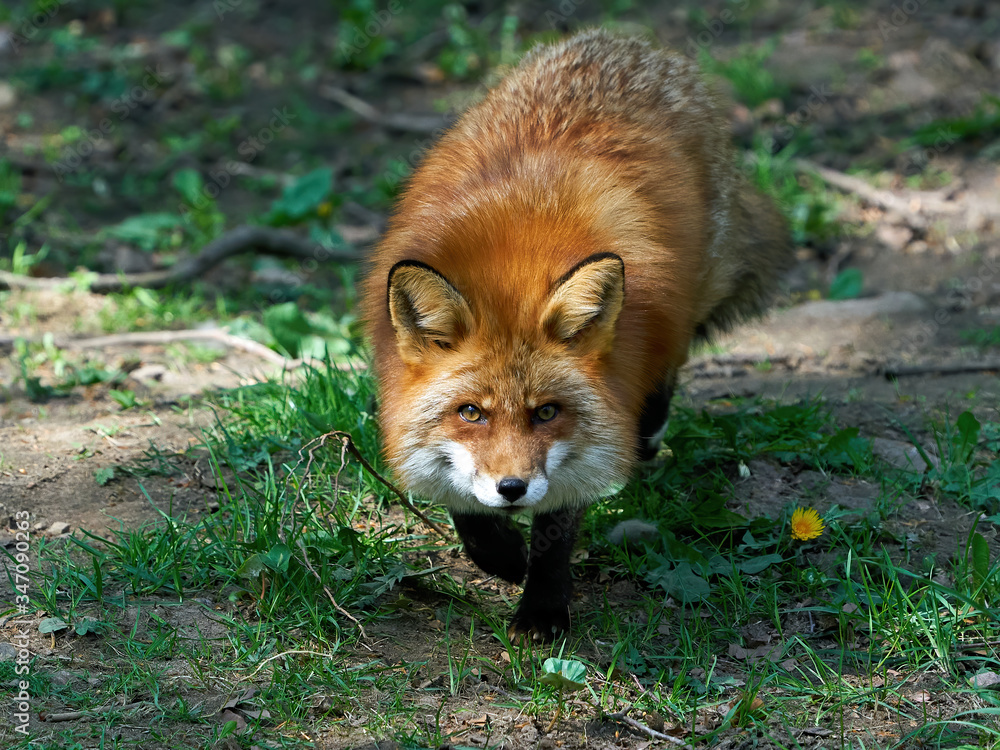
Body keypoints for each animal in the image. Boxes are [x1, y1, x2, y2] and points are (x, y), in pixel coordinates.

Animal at [362, 29, 793, 640]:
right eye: (471, 412)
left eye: (547, 412)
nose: (512, 489)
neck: (511, 261)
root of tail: (626, 43)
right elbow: (463, 502)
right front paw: (500, 555)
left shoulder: (592, 430)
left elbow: (556, 529)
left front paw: (542, 607)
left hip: (686, 305)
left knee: (670, 366)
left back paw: (649, 433)